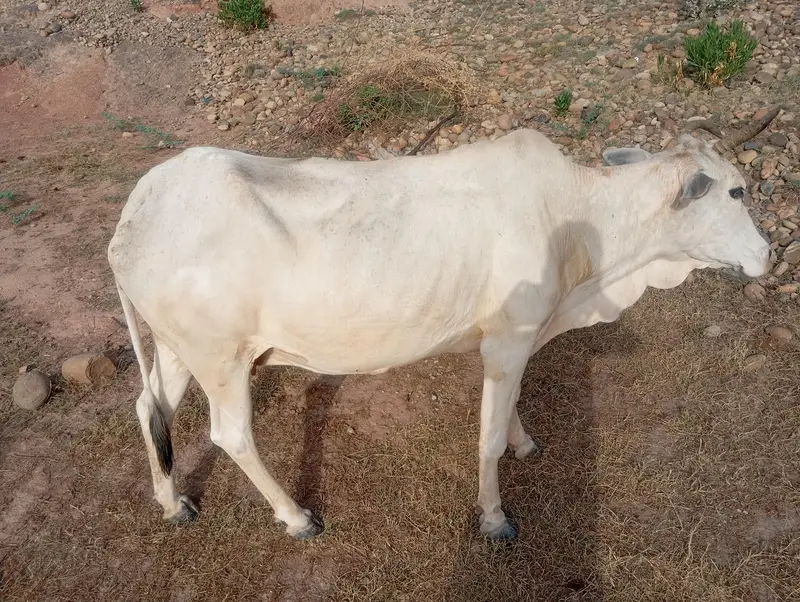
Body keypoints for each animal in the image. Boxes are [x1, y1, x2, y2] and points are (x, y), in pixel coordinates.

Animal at [108, 108, 779, 541]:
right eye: (738, 191)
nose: (768, 255)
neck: (581, 224)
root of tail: (135, 216)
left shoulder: (516, 341)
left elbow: (510, 413)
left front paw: (525, 442)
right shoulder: (508, 341)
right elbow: (485, 438)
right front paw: (495, 518)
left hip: (178, 349)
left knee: (148, 406)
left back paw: (172, 503)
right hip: (222, 359)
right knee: (231, 436)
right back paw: (296, 518)